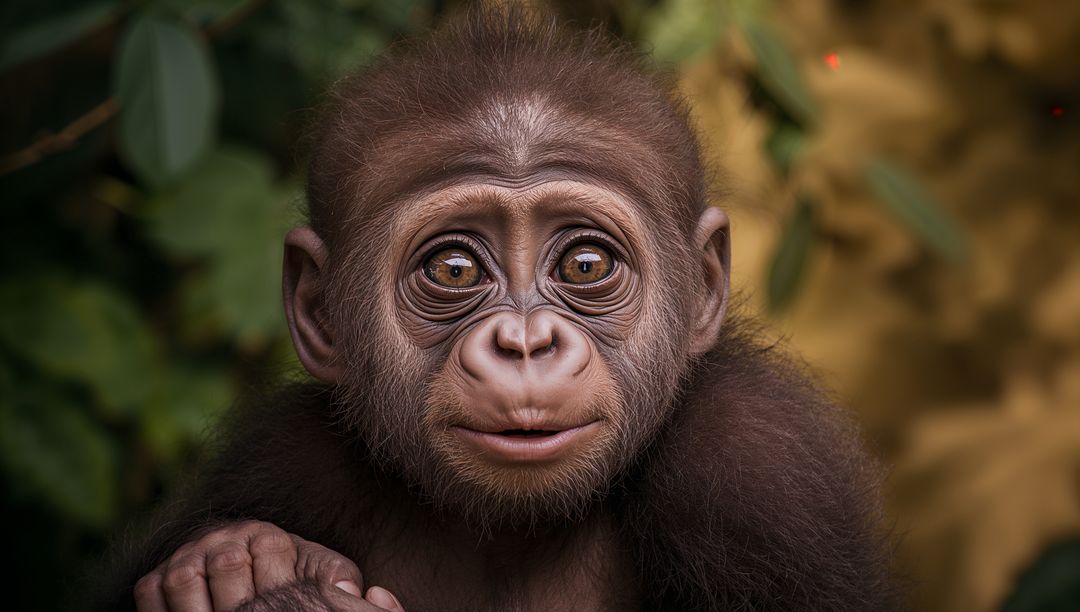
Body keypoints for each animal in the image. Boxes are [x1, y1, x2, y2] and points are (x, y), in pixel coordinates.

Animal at [98, 7, 897, 611]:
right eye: (453, 269)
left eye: (585, 265)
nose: (524, 342)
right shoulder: (283, 457)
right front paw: (230, 560)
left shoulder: (759, 471)